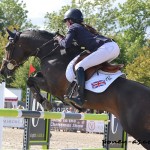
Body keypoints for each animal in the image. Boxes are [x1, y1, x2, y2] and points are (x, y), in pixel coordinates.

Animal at [0, 28, 150, 149]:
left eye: (7, 47)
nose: (3, 71)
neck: (53, 54)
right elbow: (34, 78)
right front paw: (45, 102)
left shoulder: (53, 86)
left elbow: (30, 80)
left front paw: (45, 102)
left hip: (137, 130)